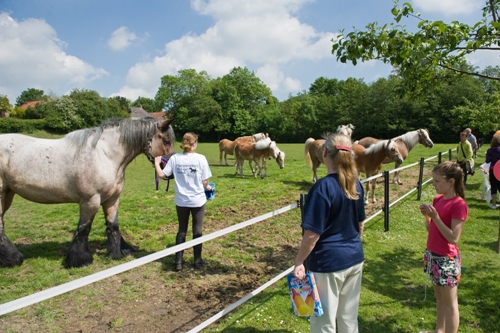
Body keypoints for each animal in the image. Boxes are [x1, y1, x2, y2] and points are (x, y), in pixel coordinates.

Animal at [0, 116, 176, 268]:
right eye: (166, 140)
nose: (170, 170)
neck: (104, 156)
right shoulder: (90, 200)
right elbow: (84, 228)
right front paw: (80, 260)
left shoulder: (112, 199)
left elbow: (113, 225)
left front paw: (116, 253)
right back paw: (14, 259)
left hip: (8, 193)